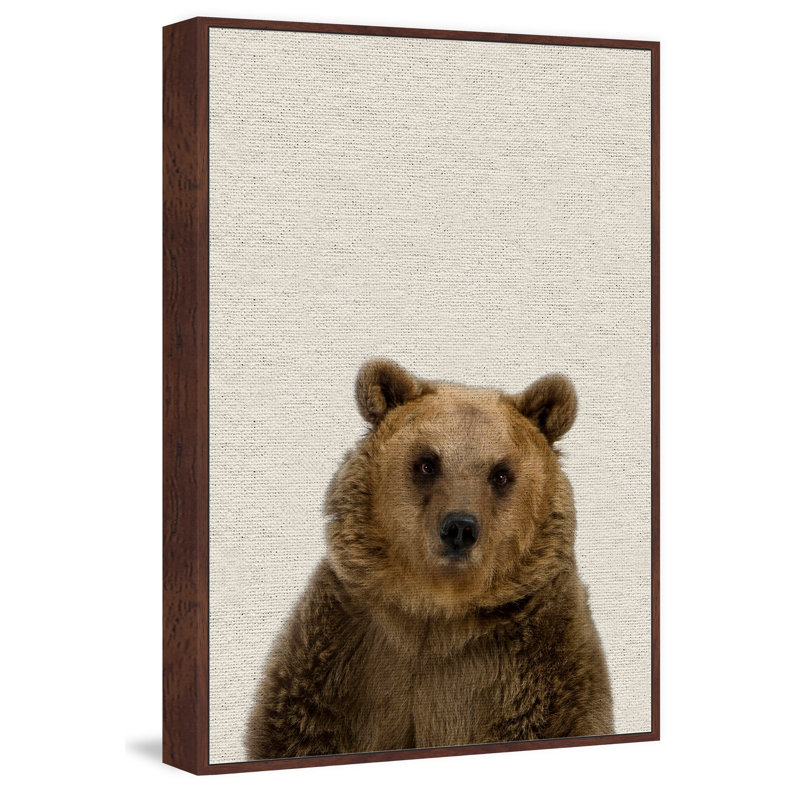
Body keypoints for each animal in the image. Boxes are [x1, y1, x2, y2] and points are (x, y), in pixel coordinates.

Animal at [246, 359, 613, 760]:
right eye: (427, 463)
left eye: (501, 473)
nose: (459, 528)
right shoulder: (340, 657)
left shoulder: (540, 669)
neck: (436, 609)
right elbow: (298, 726)